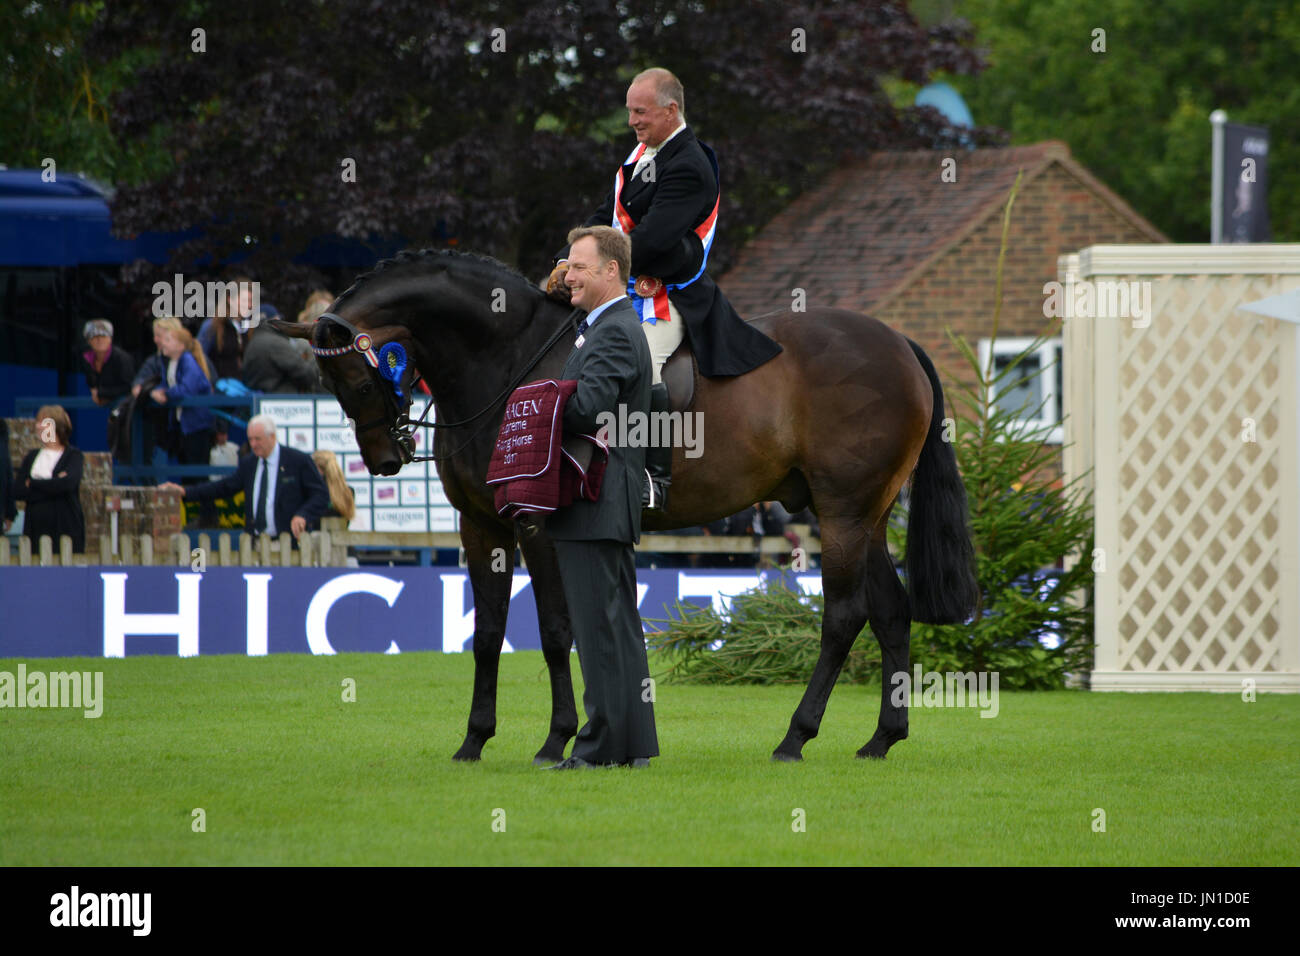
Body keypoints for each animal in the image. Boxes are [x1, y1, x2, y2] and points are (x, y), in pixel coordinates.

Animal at [271, 251, 977, 764]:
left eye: (358, 377)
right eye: (331, 383)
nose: (385, 458)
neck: (505, 357)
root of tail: (896, 342)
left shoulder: (538, 527)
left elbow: (555, 631)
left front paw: (557, 738)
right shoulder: (481, 527)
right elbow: (489, 634)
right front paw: (473, 741)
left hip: (843, 512)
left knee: (844, 615)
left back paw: (795, 737)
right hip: (867, 516)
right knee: (890, 612)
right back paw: (881, 739)